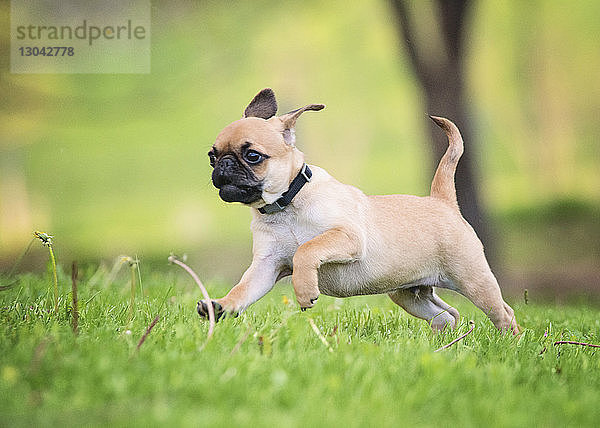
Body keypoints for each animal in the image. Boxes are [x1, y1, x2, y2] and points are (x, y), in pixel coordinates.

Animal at [199, 88, 516, 332]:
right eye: (212, 156)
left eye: (253, 156)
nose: (223, 165)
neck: (286, 205)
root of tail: (442, 201)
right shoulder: (266, 267)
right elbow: (243, 290)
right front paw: (221, 306)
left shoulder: (347, 237)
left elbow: (307, 249)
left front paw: (305, 291)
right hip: (409, 294)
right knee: (448, 316)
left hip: (473, 280)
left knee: (504, 313)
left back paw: (508, 342)